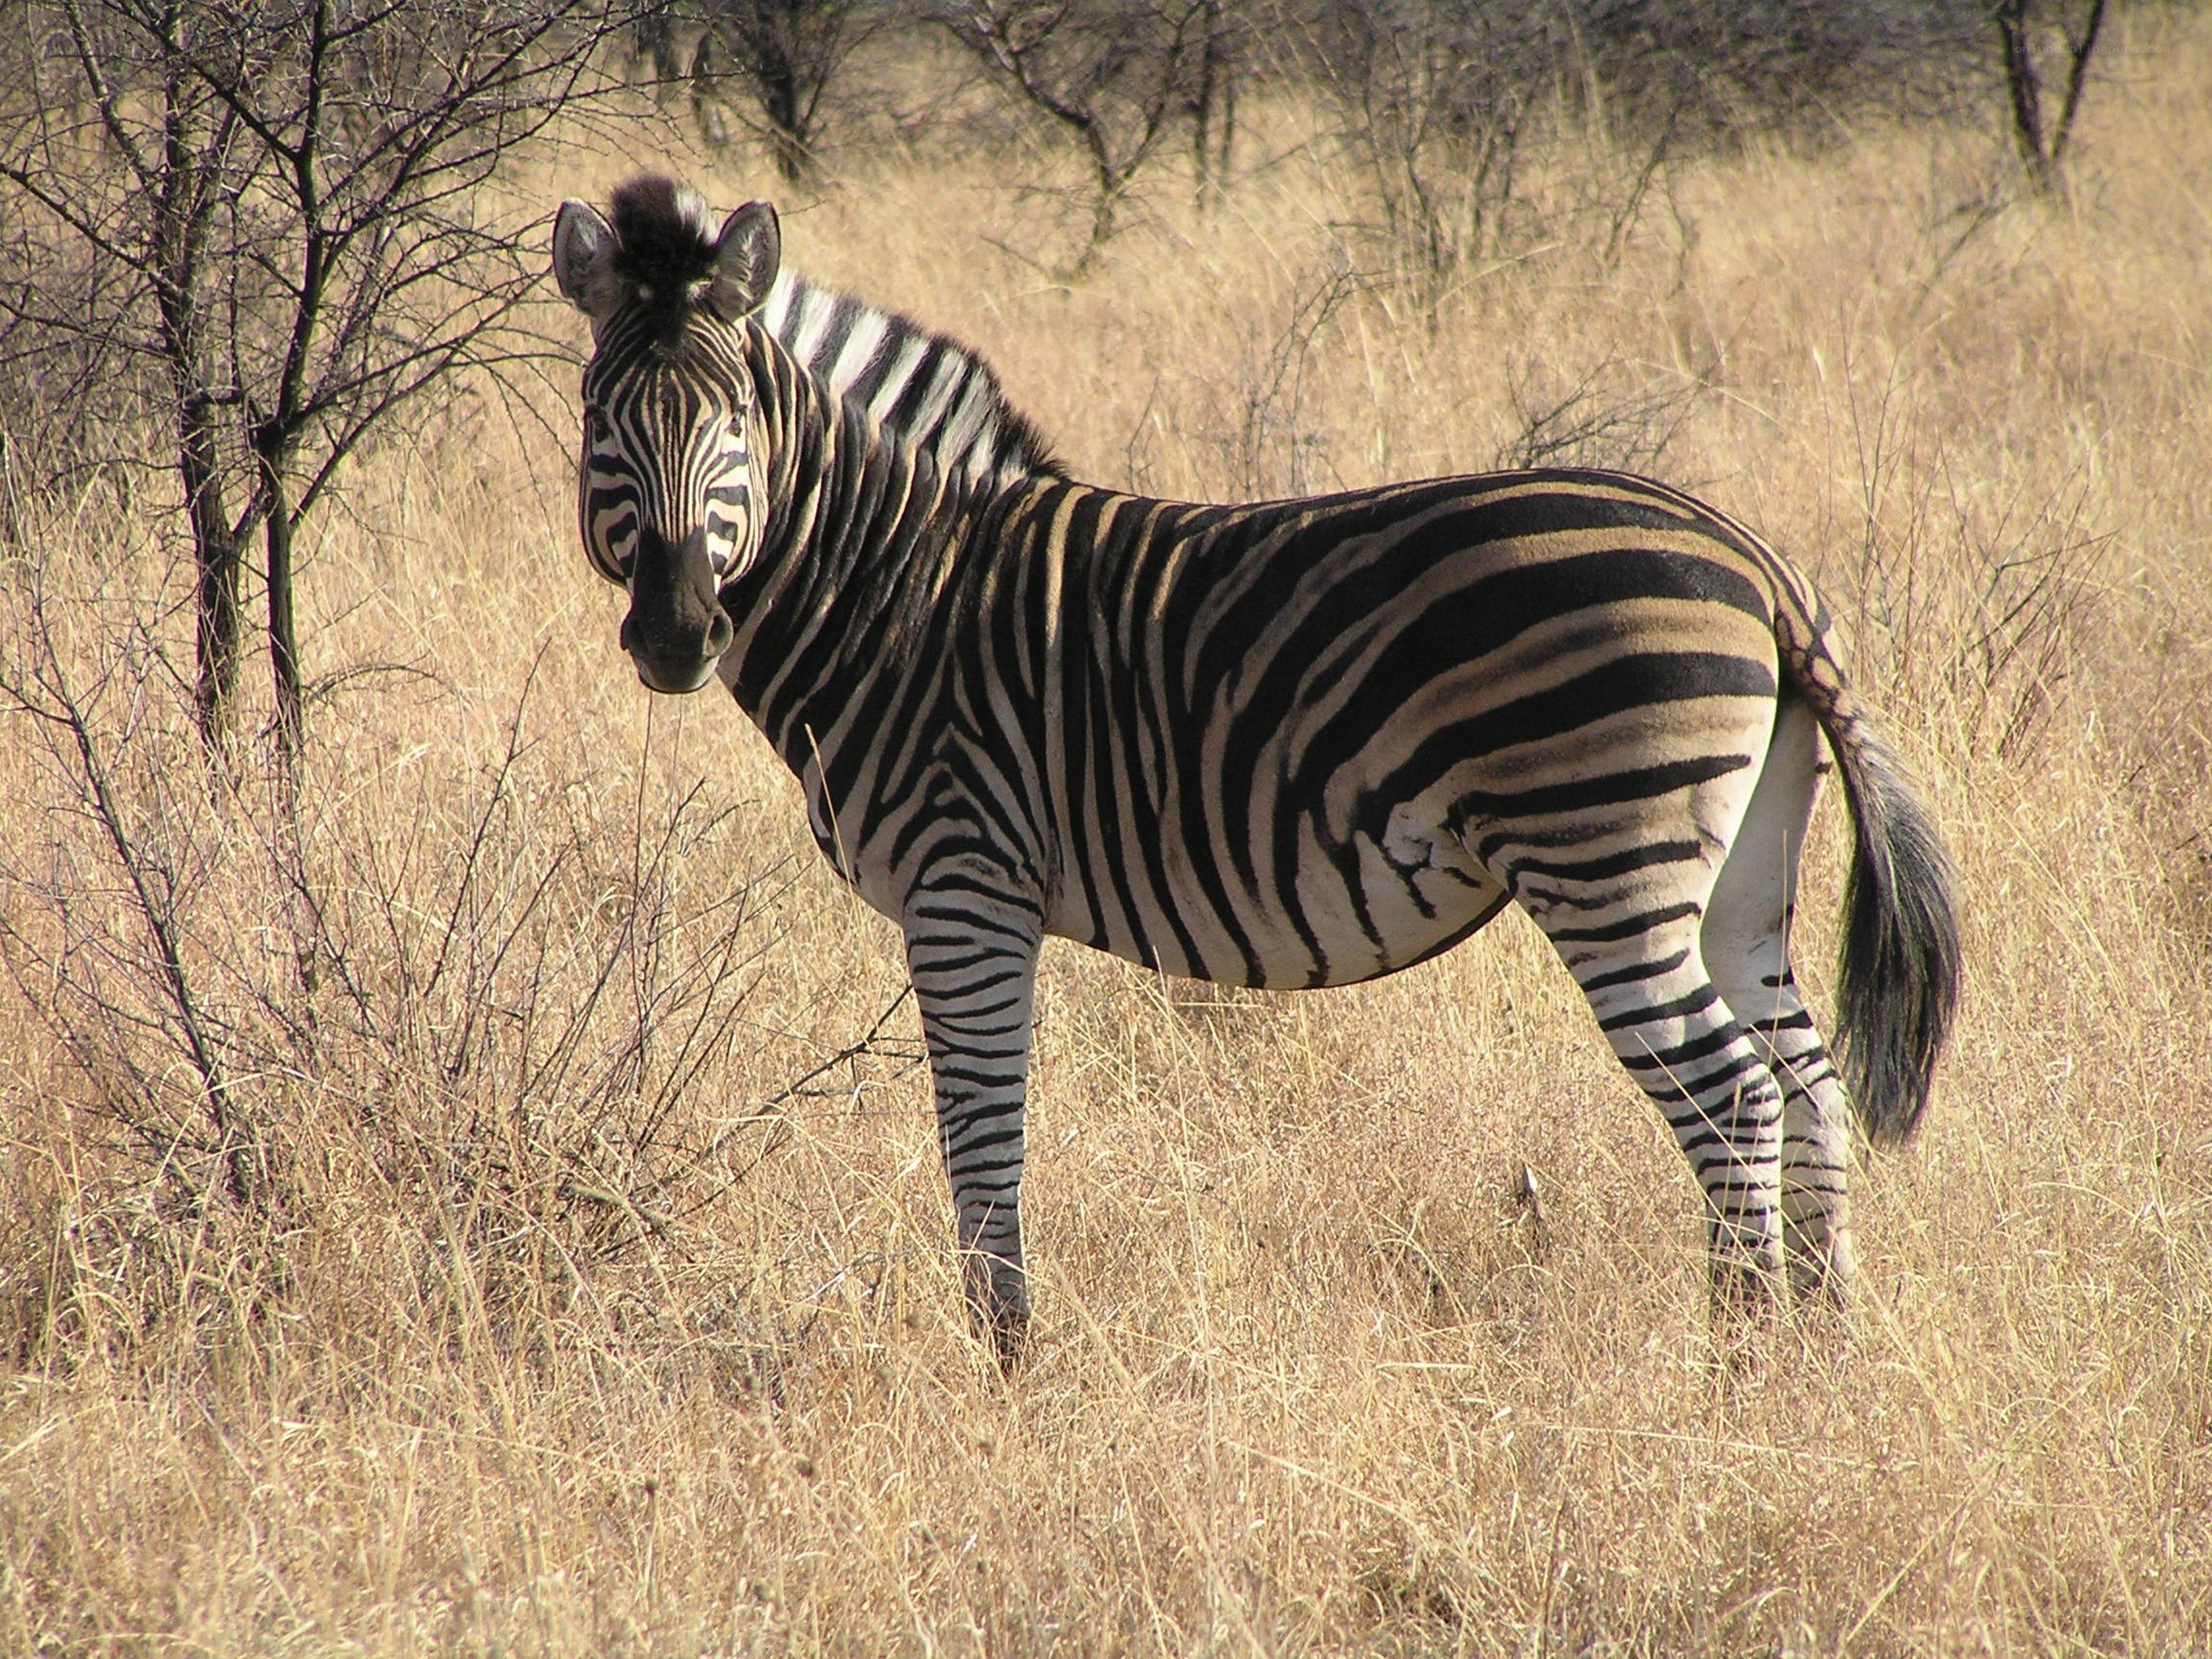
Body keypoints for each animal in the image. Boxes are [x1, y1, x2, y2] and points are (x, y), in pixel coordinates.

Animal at [550, 175, 1960, 1358]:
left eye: (735, 422)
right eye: (599, 421)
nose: (676, 634)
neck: (896, 584)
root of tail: (1755, 563)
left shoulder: (964, 889)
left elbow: (981, 1146)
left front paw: (1007, 1368)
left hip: (1606, 859)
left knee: (1736, 1102)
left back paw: (1733, 1372)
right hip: (1740, 869)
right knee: (1810, 1084)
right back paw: (1816, 1364)